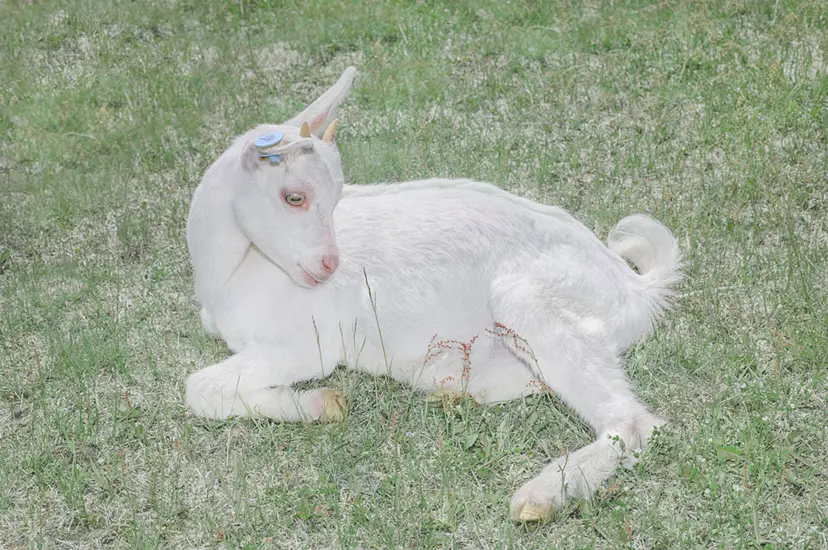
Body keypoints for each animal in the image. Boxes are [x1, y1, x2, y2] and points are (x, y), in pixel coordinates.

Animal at [184, 67, 683, 522]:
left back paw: (542, 496)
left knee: (633, 423)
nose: (329, 265)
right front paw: (321, 404)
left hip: (525, 298)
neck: (230, 274)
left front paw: (320, 401)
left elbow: (196, 388)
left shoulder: (308, 345)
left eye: (335, 194)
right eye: (294, 197)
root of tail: (634, 286)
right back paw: (453, 388)